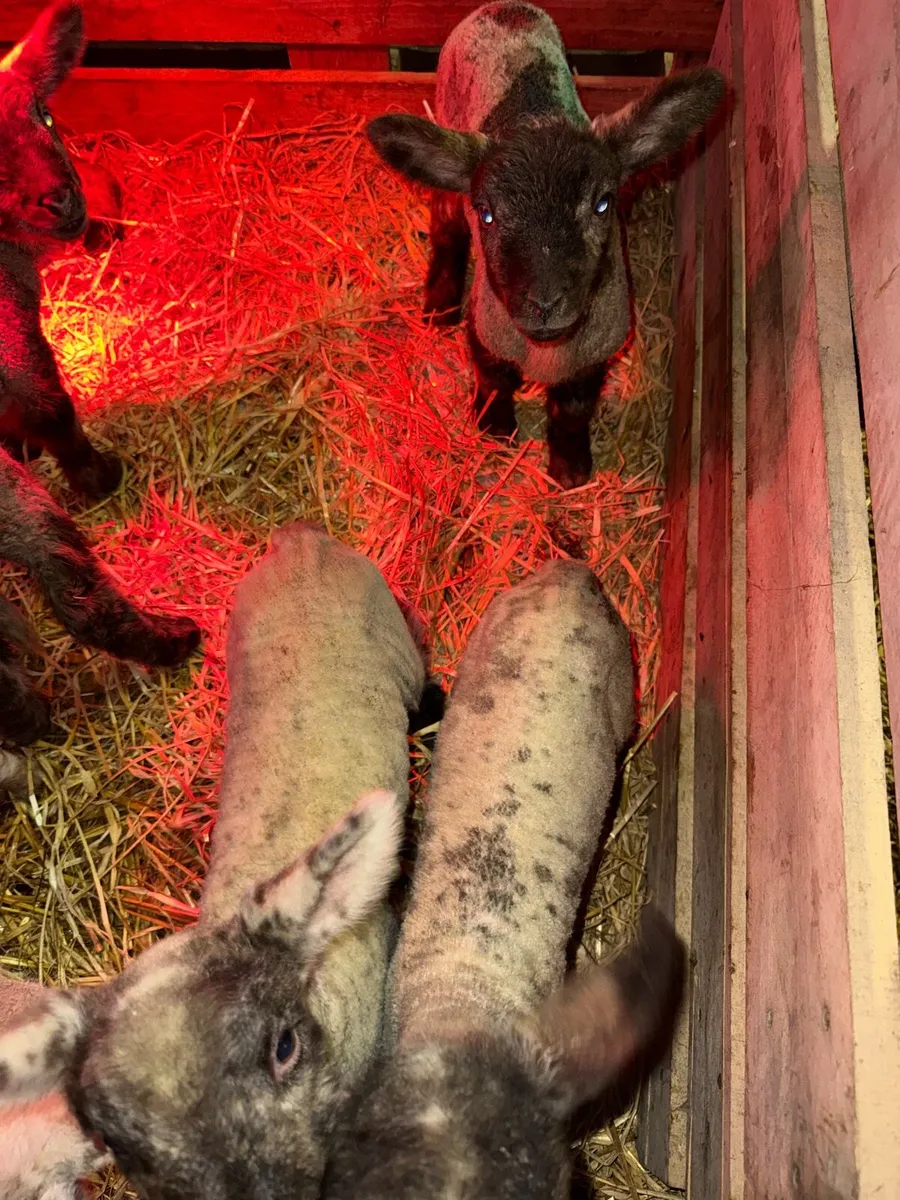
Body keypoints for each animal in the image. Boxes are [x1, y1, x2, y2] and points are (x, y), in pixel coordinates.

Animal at [0, 1, 200, 745]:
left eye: (43, 112)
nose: (62, 201)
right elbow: (48, 400)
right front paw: (92, 476)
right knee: (68, 578)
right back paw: (171, 640)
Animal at [367, 2, 724, 489]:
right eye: (487, 213)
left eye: (603, 203)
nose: (544, 304)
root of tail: (503, 8)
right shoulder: (487, 331)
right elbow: (493, 381)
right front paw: (494, 430)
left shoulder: (593, 356)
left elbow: (572, 411)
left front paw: (569, 468)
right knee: (444, 218)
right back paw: (439, 304)